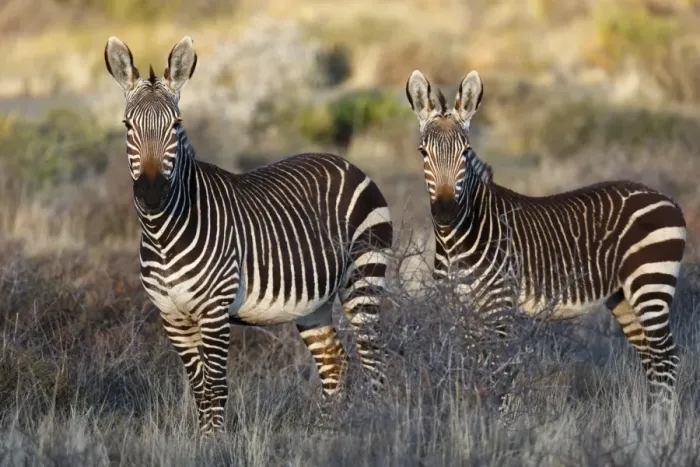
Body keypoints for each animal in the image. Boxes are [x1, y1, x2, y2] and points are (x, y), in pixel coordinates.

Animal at [104, 35, 393, 435]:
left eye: (176, 125)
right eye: (127, 125)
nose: (151, 194)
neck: (163, 234)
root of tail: (347, 163)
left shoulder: (213, 310)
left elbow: (215, 385)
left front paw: (214, 442)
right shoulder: (172, 316)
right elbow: (199, 388)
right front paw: (202, 440)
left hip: (363, 277)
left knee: (373, 358)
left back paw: (377, 427)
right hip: (314, 302)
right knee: (335, 361)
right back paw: (325, 434)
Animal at [405, 69, 686, 408]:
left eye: (465, 152)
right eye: (423, 152)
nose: (445, 213)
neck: (454, 241)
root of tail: (666, 198)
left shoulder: (498, 307)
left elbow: (497, 371)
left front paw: (495, 419)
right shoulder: (460, 308)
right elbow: (470, 367)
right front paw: (470, 414)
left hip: (651, 284)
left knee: (666, 357)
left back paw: (661, 419)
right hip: (623, 298)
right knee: (652, 360)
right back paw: (651, 415)